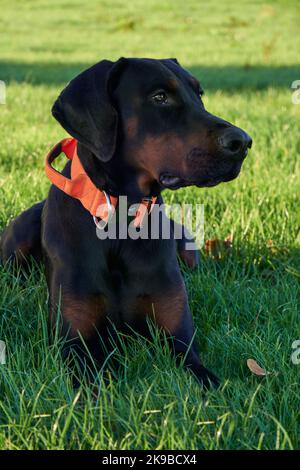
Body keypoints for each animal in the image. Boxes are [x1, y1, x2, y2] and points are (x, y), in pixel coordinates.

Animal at [0, 57, 251, 390]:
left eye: (200, 94)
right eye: (160, 97)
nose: (243, 142)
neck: (121, 221)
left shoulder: (180, 340)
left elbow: (202, 375)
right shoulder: (76, 342)